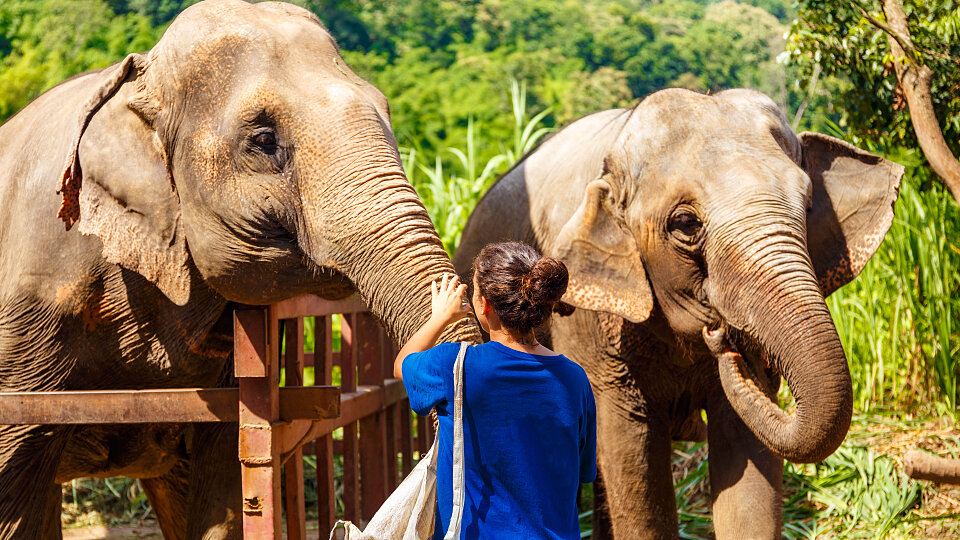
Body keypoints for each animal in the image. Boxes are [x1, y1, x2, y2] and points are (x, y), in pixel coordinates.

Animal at [454, 87, 904, 536]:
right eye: (686, 223)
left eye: (809, 204)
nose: (725, 341)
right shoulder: (590, 329)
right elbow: (633, 460)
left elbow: (748, 467)